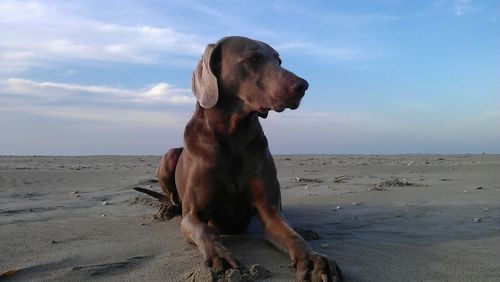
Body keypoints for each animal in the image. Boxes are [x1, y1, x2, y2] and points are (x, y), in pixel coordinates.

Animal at [137, 36, 342, 280]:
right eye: (253, 59)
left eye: (279, 61)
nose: (303, 85)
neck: (233, 135)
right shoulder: (193, 215)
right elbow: (206, 231)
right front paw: (220, 257)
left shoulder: (269, 211)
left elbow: (292, 235)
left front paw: (313, 260)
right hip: (169, 156)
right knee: (173, 199)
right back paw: (167, 209)